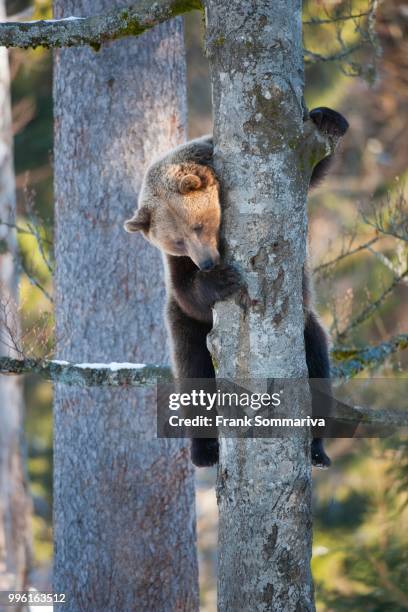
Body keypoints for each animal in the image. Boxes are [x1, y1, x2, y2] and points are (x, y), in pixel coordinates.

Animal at [123, 106, 348, 468]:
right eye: (176, 241)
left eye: (197, 226)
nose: (207, 263)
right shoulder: (178, 273)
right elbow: (186, 291)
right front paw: (220, 280)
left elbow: (312, 167)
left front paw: (326, 118)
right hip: (187, 330)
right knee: (194, 374)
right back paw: (205, 452)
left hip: (304, 326)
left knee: (316, 365)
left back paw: (317, 450)